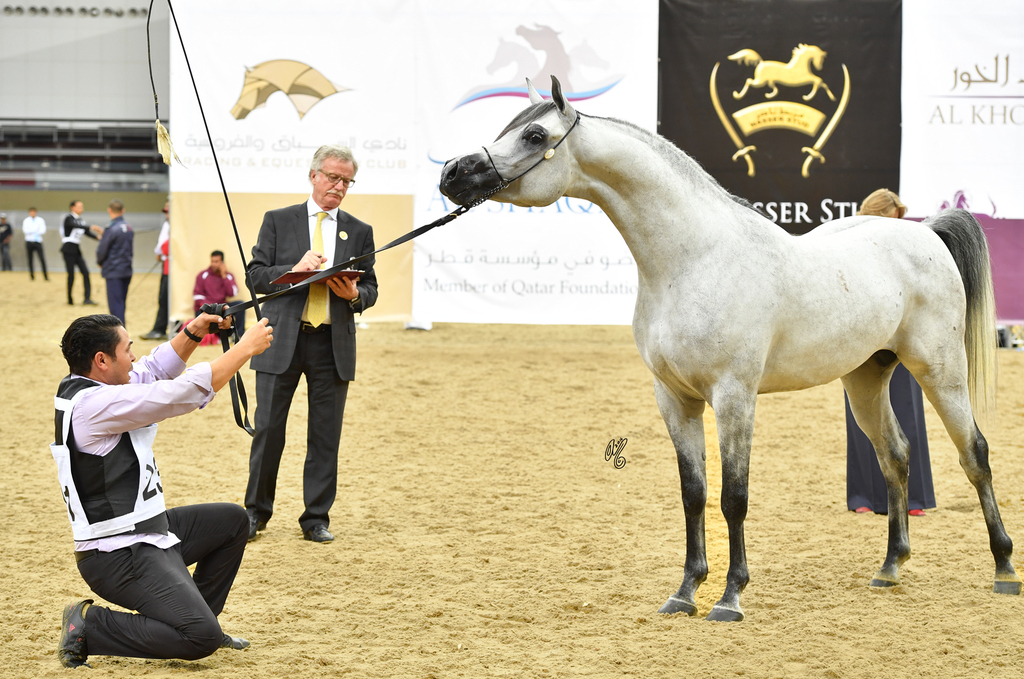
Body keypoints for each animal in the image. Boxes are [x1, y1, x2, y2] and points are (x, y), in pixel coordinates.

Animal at [438, 76, 1021, 621]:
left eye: (535, 135)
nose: (452, 173)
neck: (693, 259)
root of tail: (925, 233)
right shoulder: (674, 399)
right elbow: (693, 494)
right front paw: (685, 592)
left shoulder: (734, 396)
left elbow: (732, 496)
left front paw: (730, 596)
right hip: (865, 379)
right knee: (895, 455)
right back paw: (890, 567)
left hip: (940, 371)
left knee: (975, 454)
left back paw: (1004, 569)